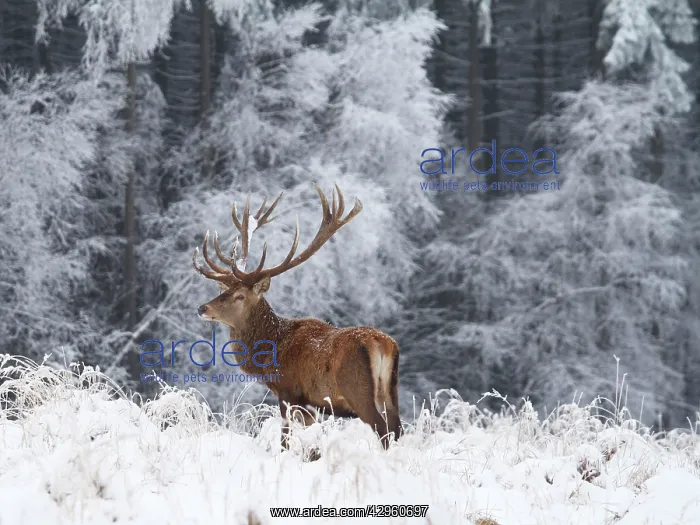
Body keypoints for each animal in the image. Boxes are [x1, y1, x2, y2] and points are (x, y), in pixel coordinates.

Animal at [192, 183, 402, 450]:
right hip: (391, 390)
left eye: (239, 296)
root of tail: (381, 343)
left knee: (382, 429)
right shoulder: (309, 403)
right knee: (397, 428)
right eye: (223, 291)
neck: (270, 354)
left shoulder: (288, 391)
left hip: (357, 389)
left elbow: (286, 438)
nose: (203, 308)